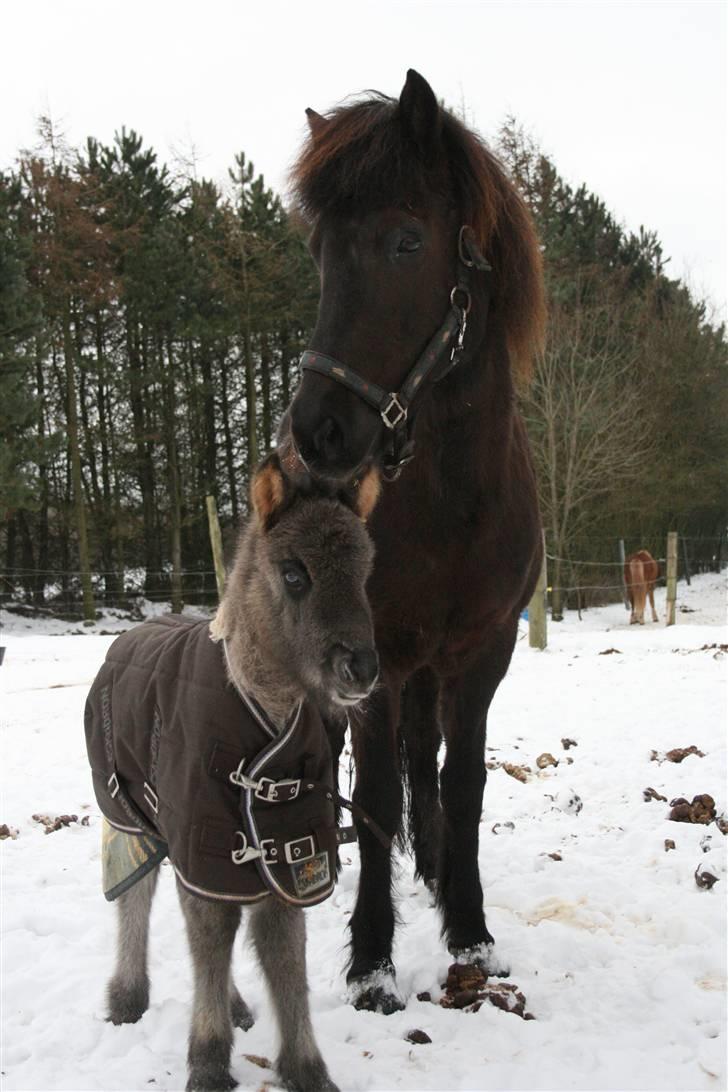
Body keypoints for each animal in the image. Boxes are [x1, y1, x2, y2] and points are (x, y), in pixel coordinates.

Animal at [281, 70, 543, 1013]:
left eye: (405, 239)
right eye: (318, 251)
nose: (317, 432)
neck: (451, 500)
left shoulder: (484, 651)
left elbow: (460, 784)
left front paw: (469, 929)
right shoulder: (377, 658)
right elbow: (373, 792)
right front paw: (371, 958)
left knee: (424, 761)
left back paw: (429, 865)